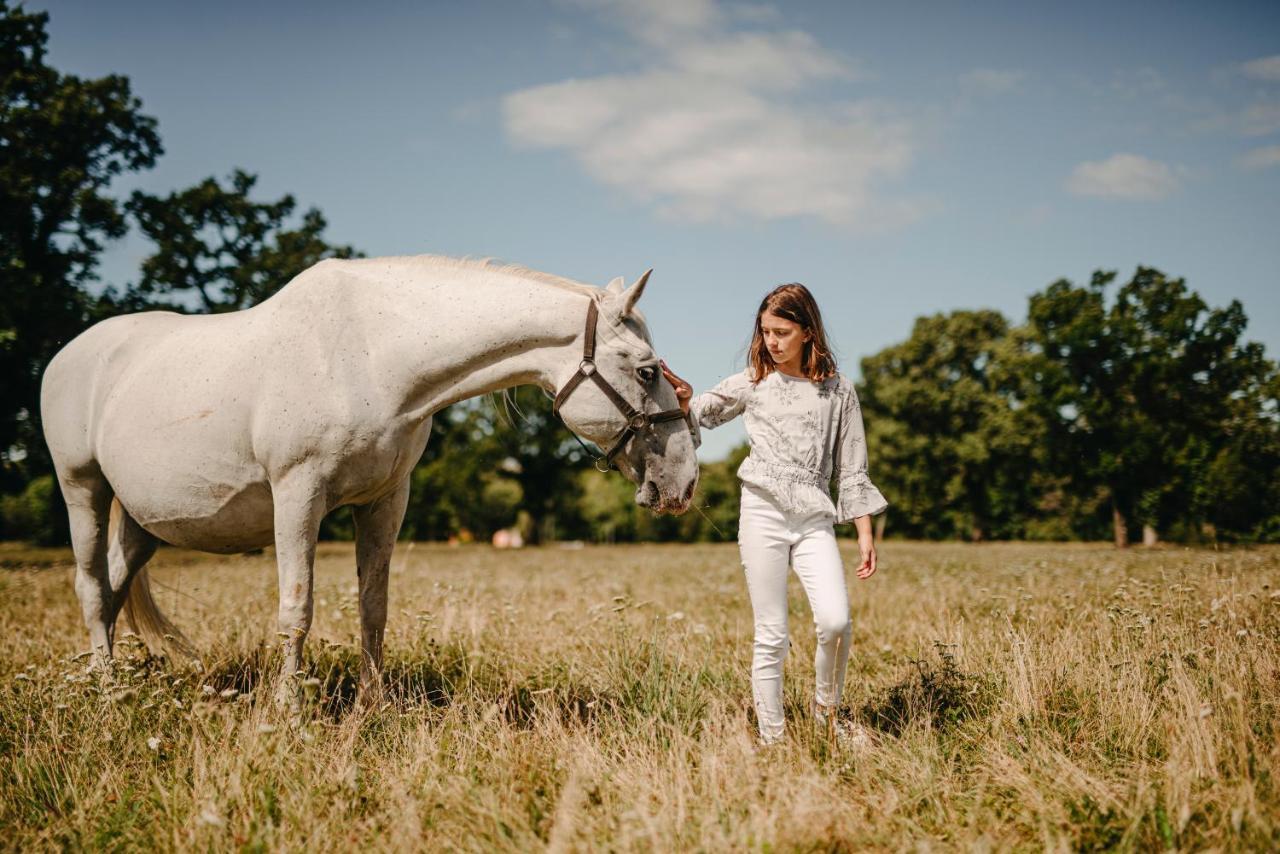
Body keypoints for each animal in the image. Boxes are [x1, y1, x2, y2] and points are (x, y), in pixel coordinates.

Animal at [40, 256, 696, 701]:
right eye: (645, 371)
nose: (683, 483)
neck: (369, 356)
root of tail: (70, 355)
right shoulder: (296, 496)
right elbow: (296, 608)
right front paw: (290, 710)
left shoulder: (385, 501)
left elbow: (373, 606)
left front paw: (373, 704)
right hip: (83, 490)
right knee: (91, 587)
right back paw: (104, 685)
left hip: (146, 521)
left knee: (115, 588)